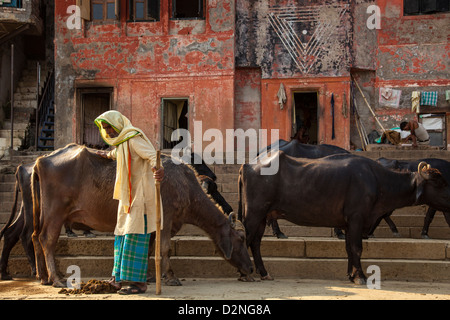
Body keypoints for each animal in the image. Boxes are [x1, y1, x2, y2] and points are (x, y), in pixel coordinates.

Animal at [31, 144, 253, 286]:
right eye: (241, 239)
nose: (251, 269)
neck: (185, 185)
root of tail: (42, 160)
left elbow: (149, 249)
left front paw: (147, 277)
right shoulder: (166, 221)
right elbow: (164, 249)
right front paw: (170, 277)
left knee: (35, 237)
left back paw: (44, 277)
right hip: (55, 214)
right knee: (47, 240)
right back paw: (56, 278)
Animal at [237, 152, 450, 284]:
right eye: (439, 182)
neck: (377, 181)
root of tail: (248, 165)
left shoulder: (348, 224)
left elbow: (349, 248)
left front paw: (351, 275)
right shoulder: (357, 218)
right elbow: (357, 248)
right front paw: (361, 276)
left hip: (263, 216)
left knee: (255, 242)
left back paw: (264, 273)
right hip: (254, 212)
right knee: (245, 237)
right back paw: (243, 273)